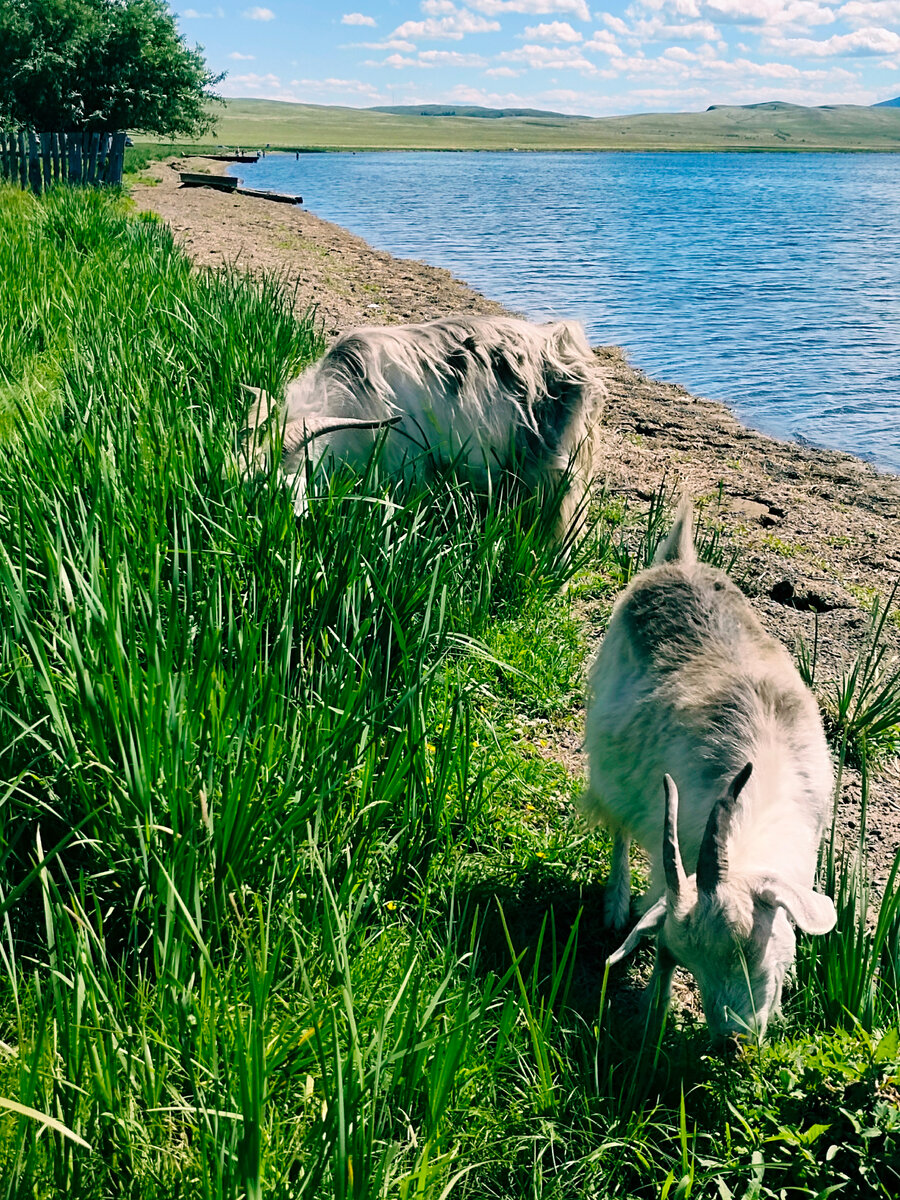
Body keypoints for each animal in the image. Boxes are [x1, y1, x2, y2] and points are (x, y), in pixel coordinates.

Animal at [585, 496, 840, 1041]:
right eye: (693, 967)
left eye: (753, 950)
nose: (731, 1040)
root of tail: (676, 563)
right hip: (611, 753)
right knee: (618, 824)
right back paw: (615, 903)